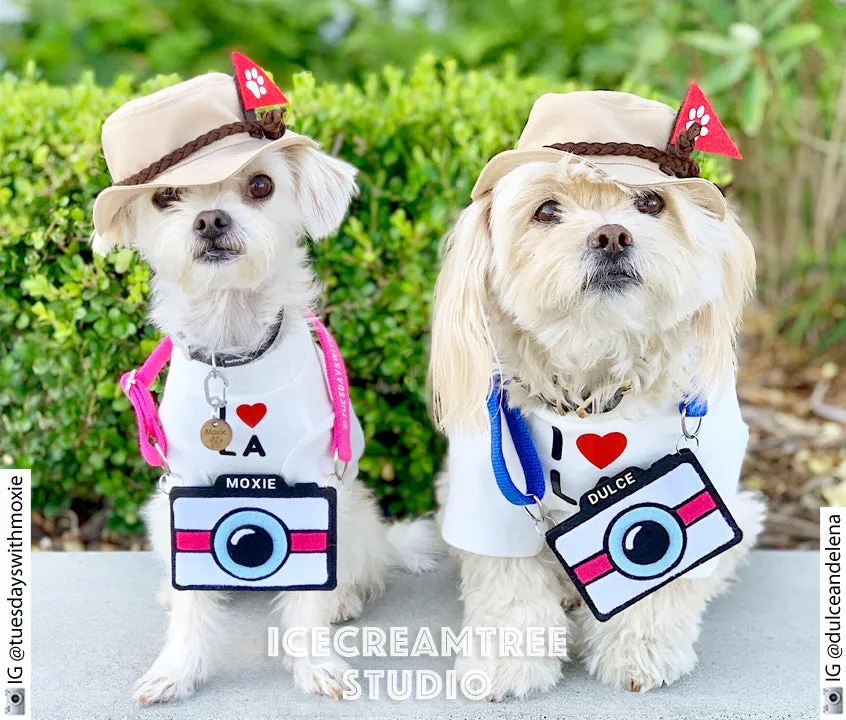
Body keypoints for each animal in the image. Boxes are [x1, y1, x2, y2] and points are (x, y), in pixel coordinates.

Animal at [95, 145, 440, 704]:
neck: (232, 350)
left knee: (359, 571)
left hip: (353, 517)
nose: (210, 219)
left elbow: (308, 592)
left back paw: (343, 598)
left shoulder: (315, 485)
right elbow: (193, 603)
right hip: (156, 512)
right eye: (165, 194)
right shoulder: (184, 488)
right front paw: (175, 670)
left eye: (260, 185)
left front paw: (316, 663)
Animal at [430, 150, 768, 696]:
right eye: (547, 210)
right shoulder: (489, 491)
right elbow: (509, 586)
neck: (593, 386)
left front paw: (639, 653)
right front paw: (508, 661)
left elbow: (666, 577)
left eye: (651, 202)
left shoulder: (696, 475)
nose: (612, 235)